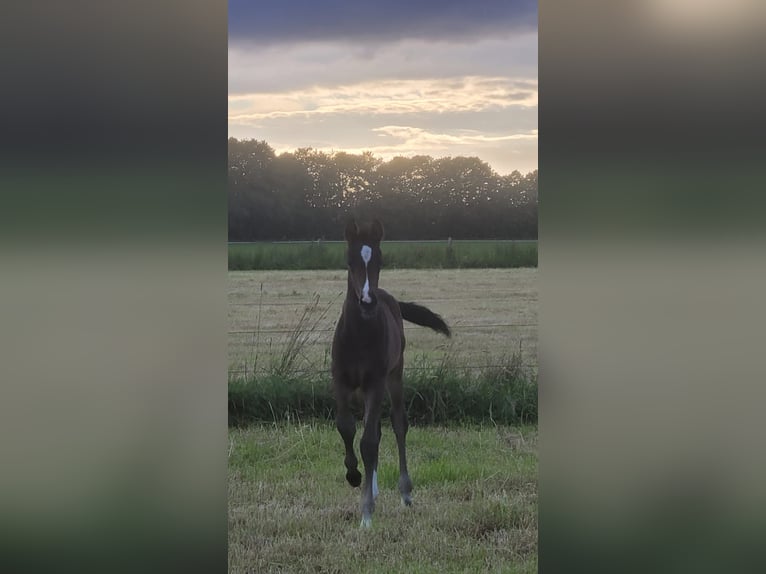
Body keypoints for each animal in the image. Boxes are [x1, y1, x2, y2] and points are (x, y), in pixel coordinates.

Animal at [330, 220, 450, 532]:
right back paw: (371, 487)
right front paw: (354, 476)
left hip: (394, 377)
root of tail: (388, 296)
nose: (367, 302)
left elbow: (368, 442)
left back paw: (405, 492)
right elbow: (346, 428)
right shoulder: (341, 382)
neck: (358, 336)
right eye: (350, 261)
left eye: (380, 260)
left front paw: (366, 515)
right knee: (376, 429)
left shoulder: (375, 383)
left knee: (397, 425)